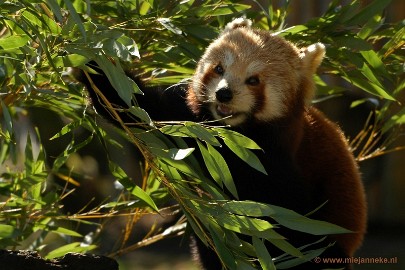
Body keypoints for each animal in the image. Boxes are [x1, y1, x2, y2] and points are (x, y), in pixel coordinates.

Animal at [76, 17, 366, 268]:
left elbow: (284, 218)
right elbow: (138, 108)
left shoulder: (281, 165)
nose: (224, 93)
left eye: (253, 80)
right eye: (219, 69)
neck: (234, 135)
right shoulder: (188, 121)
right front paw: (91, 61)